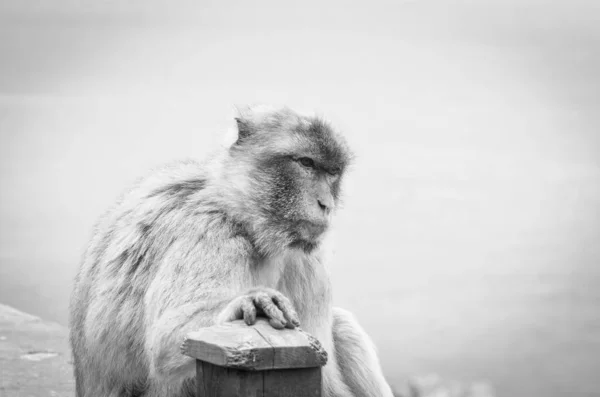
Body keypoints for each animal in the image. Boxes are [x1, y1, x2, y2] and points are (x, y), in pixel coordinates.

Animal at [69, 106, 394, 396]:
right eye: (306, 163)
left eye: (332, 172)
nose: (326, 204)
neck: (242, 215)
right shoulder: (211, 232)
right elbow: (166, 339)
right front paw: (248, 302)